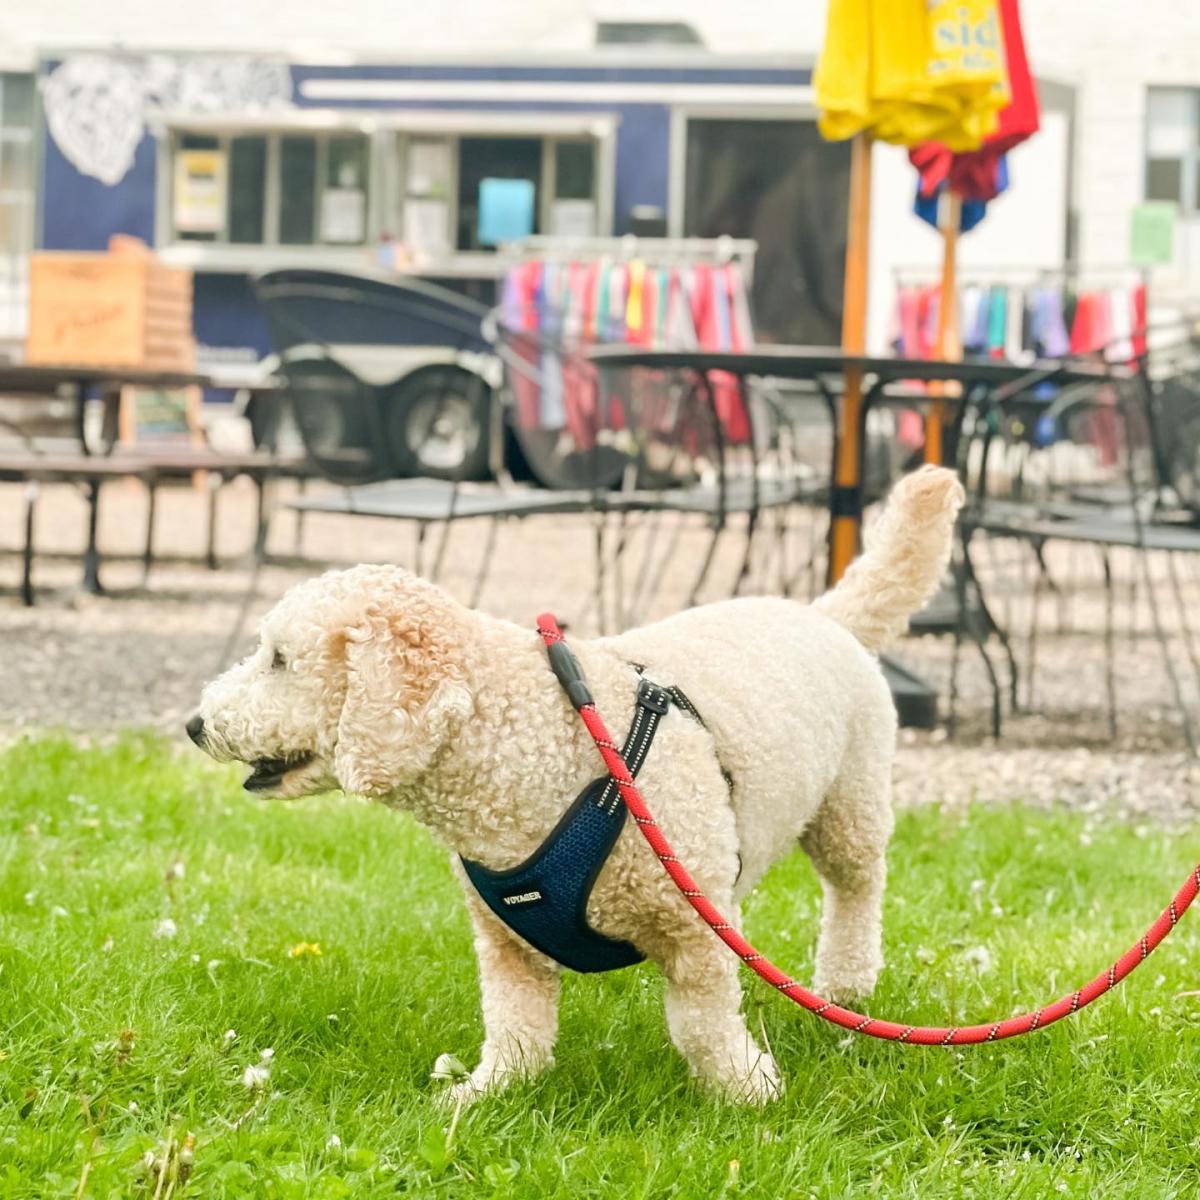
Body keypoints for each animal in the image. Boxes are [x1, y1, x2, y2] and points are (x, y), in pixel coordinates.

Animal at [187, 463, 964, 1099]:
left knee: (856, 889)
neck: (524, 746)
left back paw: (845, 983)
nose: (195, 723)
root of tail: (823, 615)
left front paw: (747, 1094)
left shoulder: (695, 931)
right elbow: (517, 1029)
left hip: (848, 808)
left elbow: (701, 1027)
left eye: (279, 659)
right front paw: (485, 1096)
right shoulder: (507, 945)